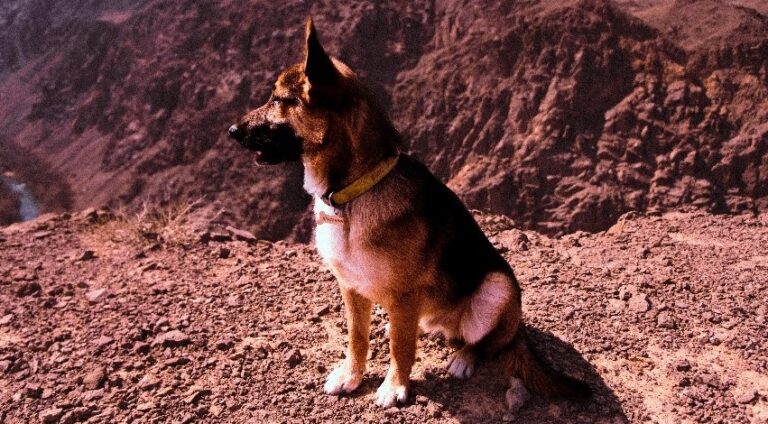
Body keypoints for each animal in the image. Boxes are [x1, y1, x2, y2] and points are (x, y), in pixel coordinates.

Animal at [226, 17, 588, 410]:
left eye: (279, 100)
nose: (231, 131)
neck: (354, 193)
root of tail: (517, 326)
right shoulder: (351, 288)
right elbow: (357, 338)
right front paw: (352, 375)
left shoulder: (403, 295)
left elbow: (401, 348)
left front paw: (395, 386)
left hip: (497, 287)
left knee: (485, 342)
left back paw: (463, 358)